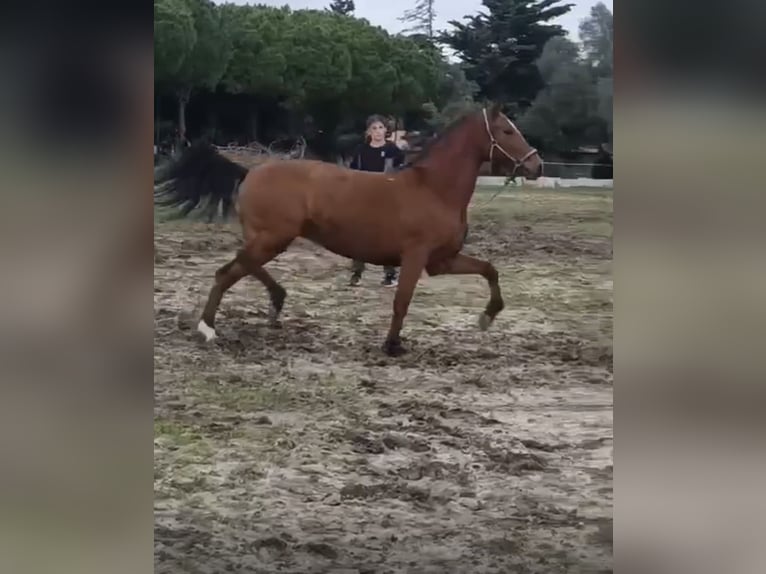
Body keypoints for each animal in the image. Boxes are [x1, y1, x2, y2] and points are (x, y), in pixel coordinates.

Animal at [154, 102, 543, 356]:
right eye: (507, 131)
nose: (536, 165)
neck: (434, 189)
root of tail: (249, 172)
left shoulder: (441, 261)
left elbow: (489, 269)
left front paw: (487, 317)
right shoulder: (415, 256)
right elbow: (402, 301)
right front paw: (392, 345)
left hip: (268, 239)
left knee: (240, 266)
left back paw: (270, 306)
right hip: (272, 238)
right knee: (230, 270)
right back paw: (210, 327)